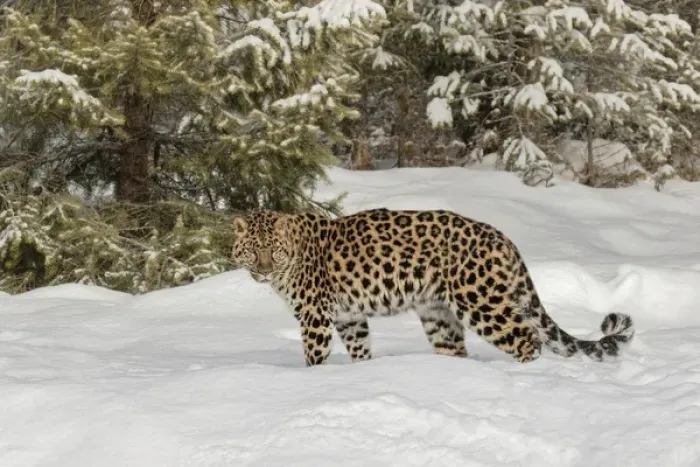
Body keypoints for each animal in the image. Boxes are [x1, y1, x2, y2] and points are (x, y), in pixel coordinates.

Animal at [231, 208, 635, 367]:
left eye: (274, 251)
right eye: (253, 250)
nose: (263, 272)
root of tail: (502, 237)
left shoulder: (314, 315)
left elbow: (315, 356)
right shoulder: (349, 317)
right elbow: (361, 350)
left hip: (480, 302)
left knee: (527, 338)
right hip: (438, 314)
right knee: (457, 350)